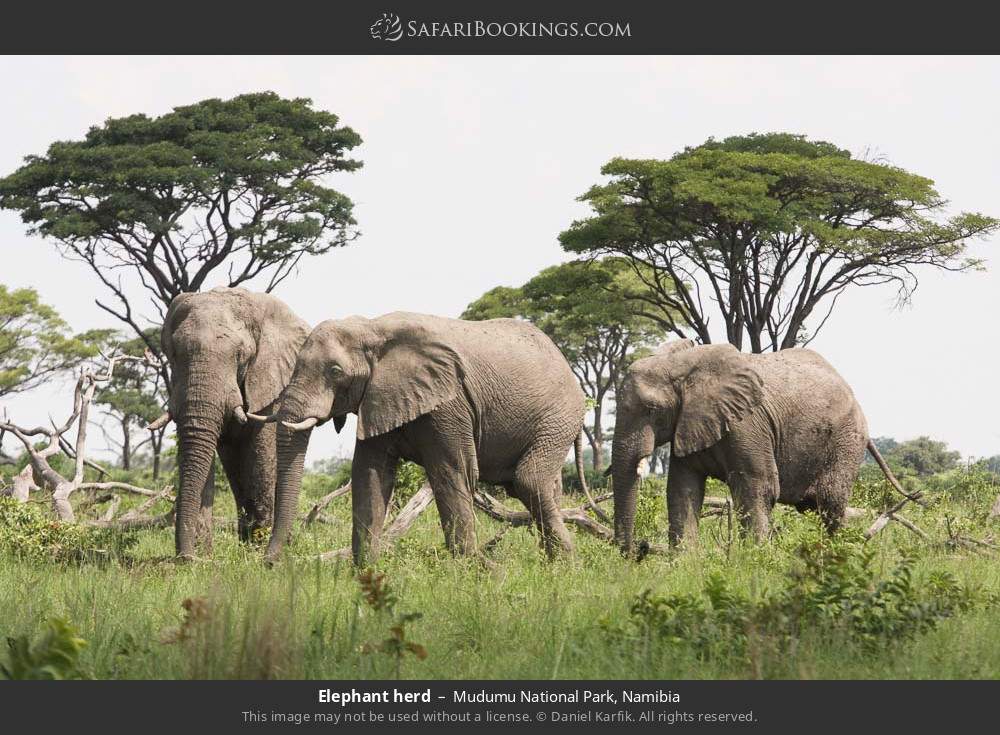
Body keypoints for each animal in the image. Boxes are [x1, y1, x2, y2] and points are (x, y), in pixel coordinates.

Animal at [158, 286, 308, 556]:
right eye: (173, 354)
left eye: (241, 356)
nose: (184, 558)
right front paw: (203, 557)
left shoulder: (267, 381)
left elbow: (261, 454)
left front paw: (255, 553)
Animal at [250, 310, 588, 564]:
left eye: (335, 371)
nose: (270, 564)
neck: (372, 328)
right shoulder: (379, 396)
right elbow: (370, 475)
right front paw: (366, 571)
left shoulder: (449, 405)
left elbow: (451, 473)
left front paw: (476, 571)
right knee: (536, 486)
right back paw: (550, 563)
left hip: (558, 416)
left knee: (528, 480)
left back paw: (566, 564)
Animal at [608, 342, 900, 556]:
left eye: (651, 410)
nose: (639, 549)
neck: (683, 363)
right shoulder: (689, 424)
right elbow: (683, 489)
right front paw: (684, 564)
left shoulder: (747, 423)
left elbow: (757, 486)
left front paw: (755, 561)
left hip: (846, 441)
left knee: (831, 504)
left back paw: (834, 555)